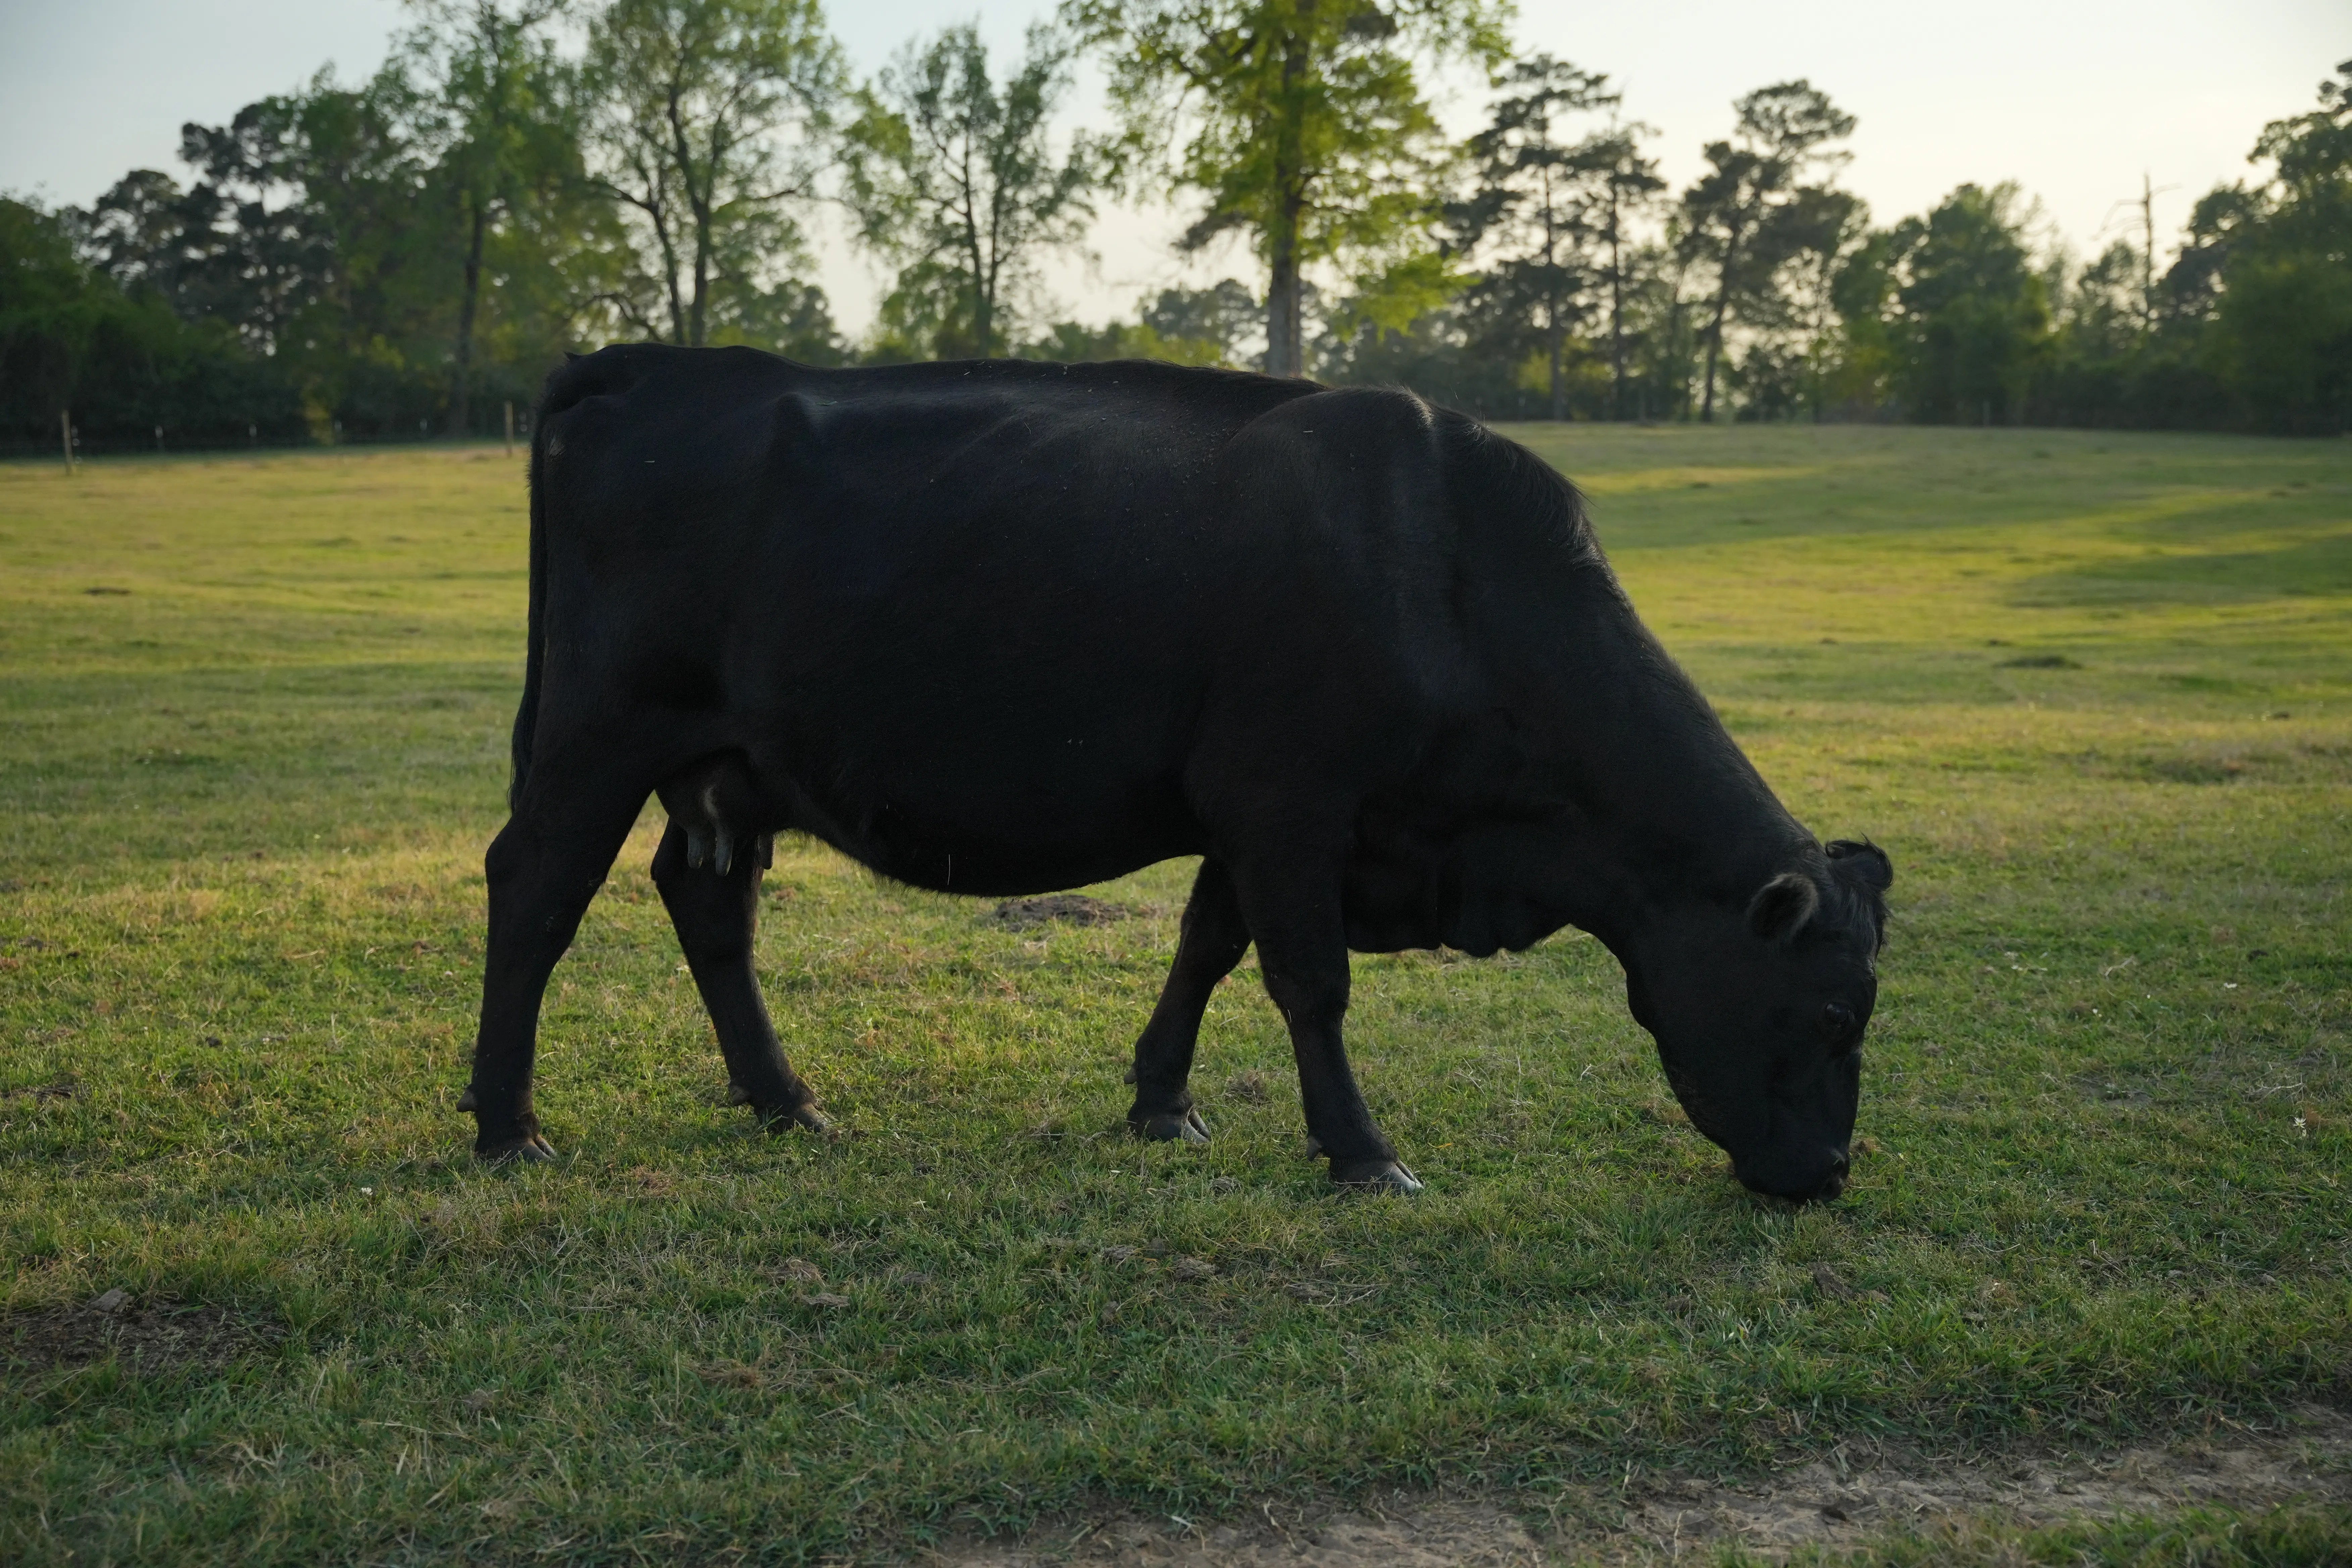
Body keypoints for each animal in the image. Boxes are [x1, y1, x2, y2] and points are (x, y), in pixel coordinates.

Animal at [458, 344, 1891, 1200]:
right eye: (1832, 1014)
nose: (1826, 1171)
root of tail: (647, 371)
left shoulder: (1251, 811)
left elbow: (1206, 946)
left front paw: (1160, 1102)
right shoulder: (1290, 798)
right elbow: (1309, 981)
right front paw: (1361, 1152)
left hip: (727, 766)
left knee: (708, 908)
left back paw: (784, 1100)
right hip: (598, 734)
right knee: (533, 890)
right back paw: (504, 1124)